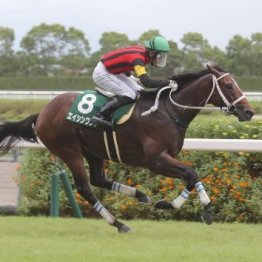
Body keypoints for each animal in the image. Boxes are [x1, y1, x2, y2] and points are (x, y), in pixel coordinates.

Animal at [0, 65, 254, 231]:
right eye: (229, 85)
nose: (249, 111)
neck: (169, 111)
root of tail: (42, 113)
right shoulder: (156, 160)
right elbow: (192, 173)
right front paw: (203, 208)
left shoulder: (169, 157)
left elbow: (191, 177)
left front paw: (170, 204)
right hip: (69, 151)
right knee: (85, 188)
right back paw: (118, 223)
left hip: (93, 151)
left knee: (98, 179)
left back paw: (140, 195)